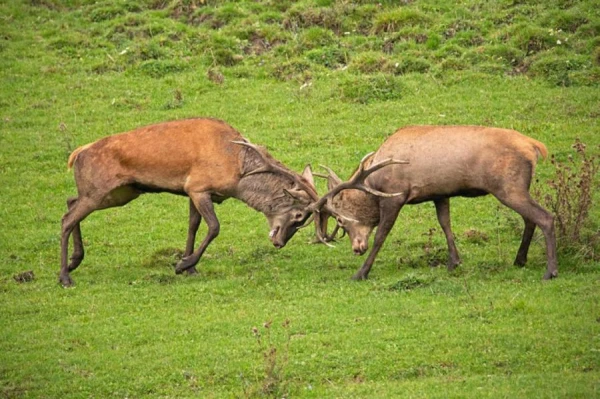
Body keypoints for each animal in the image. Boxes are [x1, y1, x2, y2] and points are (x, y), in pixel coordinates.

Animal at [61, 119, 324, 288]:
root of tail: (77, 153)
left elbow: (193, 225)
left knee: (70, 201)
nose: (280, 242)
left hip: (119, 193)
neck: (236, 170)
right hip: (99, 191)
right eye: (299, 216)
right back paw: (64, 277)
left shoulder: (191, 192)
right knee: (66, 219)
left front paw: (190, 267)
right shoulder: (198, 187)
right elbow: (214, 227)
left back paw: (75, 261)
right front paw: (183, 264)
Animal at [312, 125, 560, 282]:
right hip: (516, 188)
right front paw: (454, 262)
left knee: (545, 217)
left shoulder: (395, 195)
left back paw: (550, 271)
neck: (374, 181)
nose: (356, 248)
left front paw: (361, 273)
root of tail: (535, 146)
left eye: (342, 220)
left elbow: (381, 235)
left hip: (508, 187)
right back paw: (519, 260)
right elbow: (445, 224)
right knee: (530, 218)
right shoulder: (440, 194)